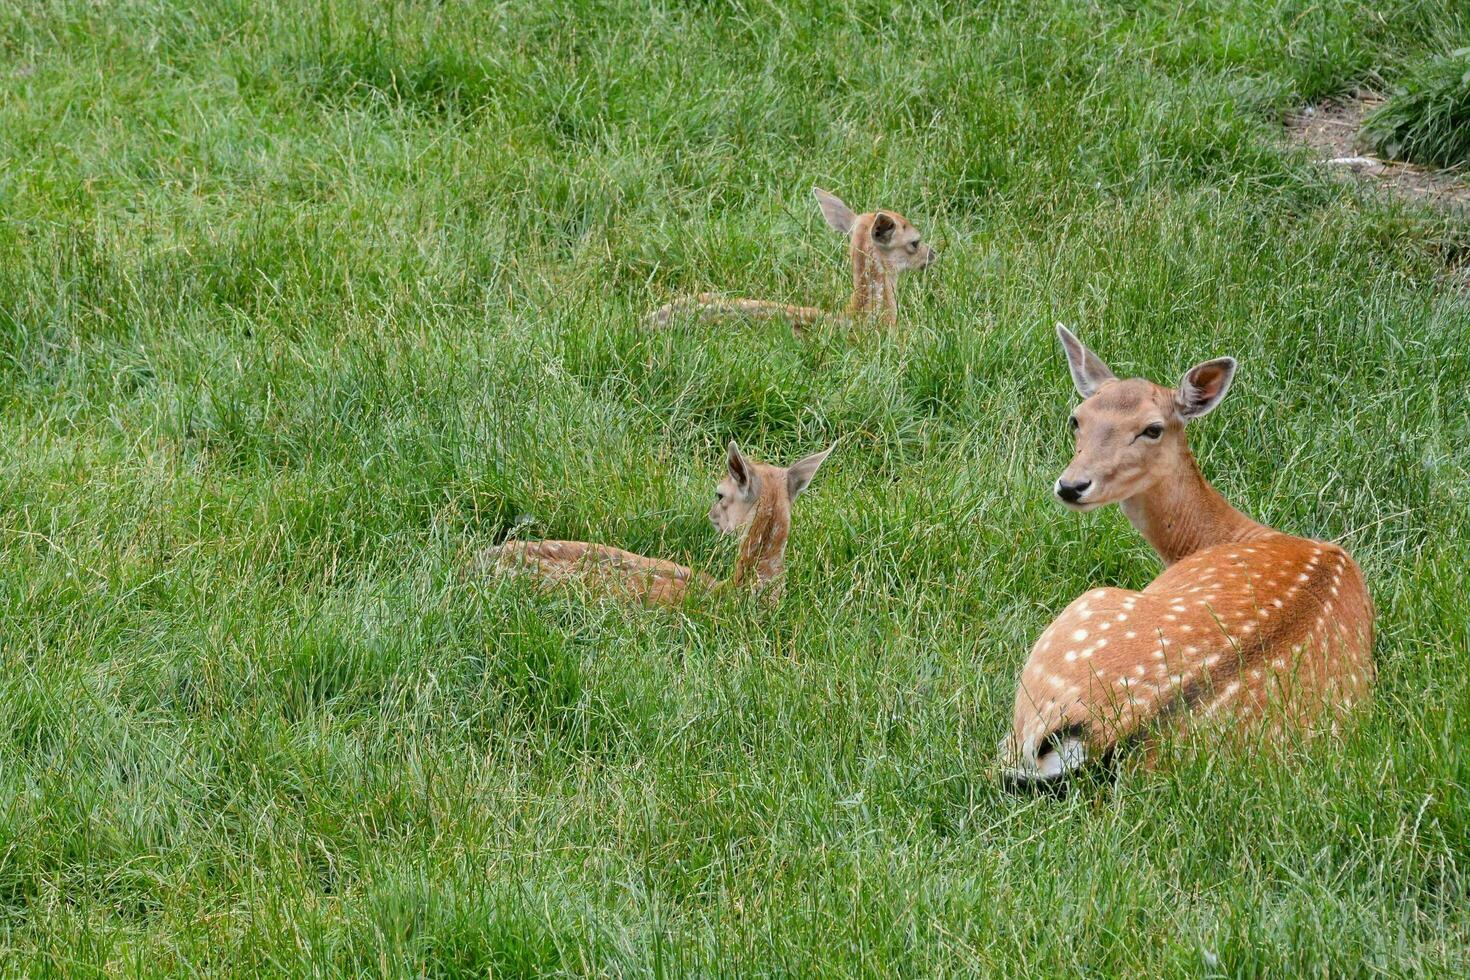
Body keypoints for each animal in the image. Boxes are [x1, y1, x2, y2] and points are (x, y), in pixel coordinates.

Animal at [1005, 326, 1370, 787]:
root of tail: (1112, 730)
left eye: (1152, 429)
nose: (1072, 486)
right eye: (1077, 418)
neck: (1225, 534)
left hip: (1081, 614)